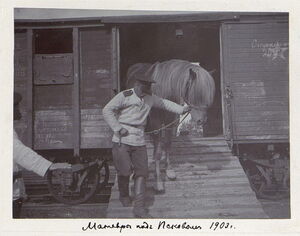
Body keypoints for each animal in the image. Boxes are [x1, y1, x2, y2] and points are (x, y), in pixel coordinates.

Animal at [126, 59, 216, 192]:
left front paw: (169, 170)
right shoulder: (156, 122)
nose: (201, 121)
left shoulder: (170, 121)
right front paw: (158, 181)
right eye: (195, 93)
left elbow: (167, 144)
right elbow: (158, 152)